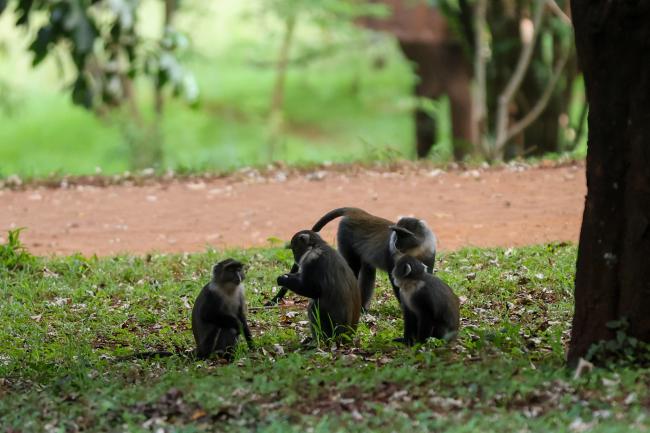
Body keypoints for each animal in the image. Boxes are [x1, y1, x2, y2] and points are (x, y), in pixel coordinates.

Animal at [116, 259, 253, 361]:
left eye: (238, 269)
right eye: (230, 269)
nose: (238, 276)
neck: (228, 288)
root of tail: (199, 350)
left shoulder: (240, 292)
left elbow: (241, 316)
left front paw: (252, 345)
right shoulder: (212, 294)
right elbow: (207, 315)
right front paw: (237, 323)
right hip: (209, 346)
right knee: (227, 327)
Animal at [266, 207, 437, 310]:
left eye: (403, 234)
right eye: (397, 234)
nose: (395, 243)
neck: (414, 249)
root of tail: (357, 213)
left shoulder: (429, 251)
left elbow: (426, 274)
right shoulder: (394, 257)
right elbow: (395, 277)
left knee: (367, 270)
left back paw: (363, 308)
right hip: (345, 237)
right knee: (353, 268)